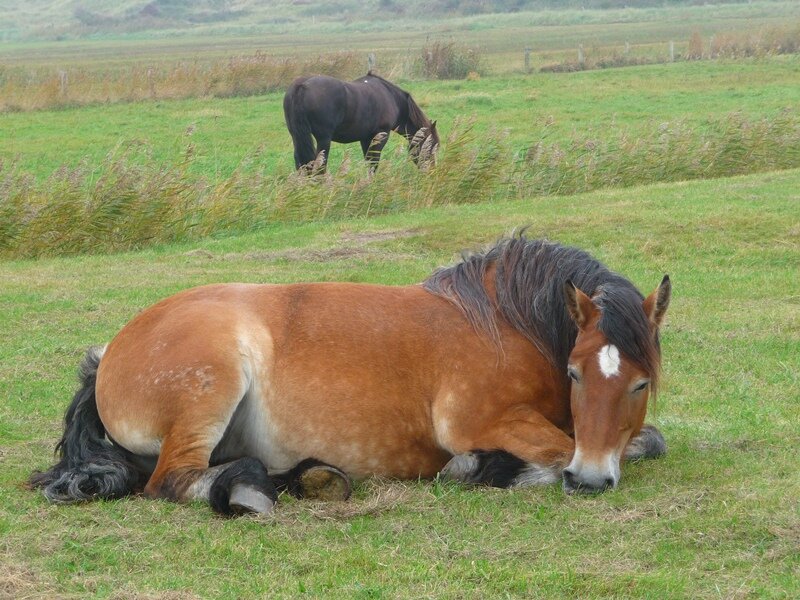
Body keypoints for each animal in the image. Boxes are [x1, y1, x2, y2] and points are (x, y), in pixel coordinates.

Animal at [284, 72, 440, 172]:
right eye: (432, 146)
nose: (432, 171)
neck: (391, 97)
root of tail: (301, 86)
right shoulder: (380, 135)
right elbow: (374, 163)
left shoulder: (365, 138)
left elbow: (369, 161)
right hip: (324, 140)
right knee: (320, 166)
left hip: (297, 136)